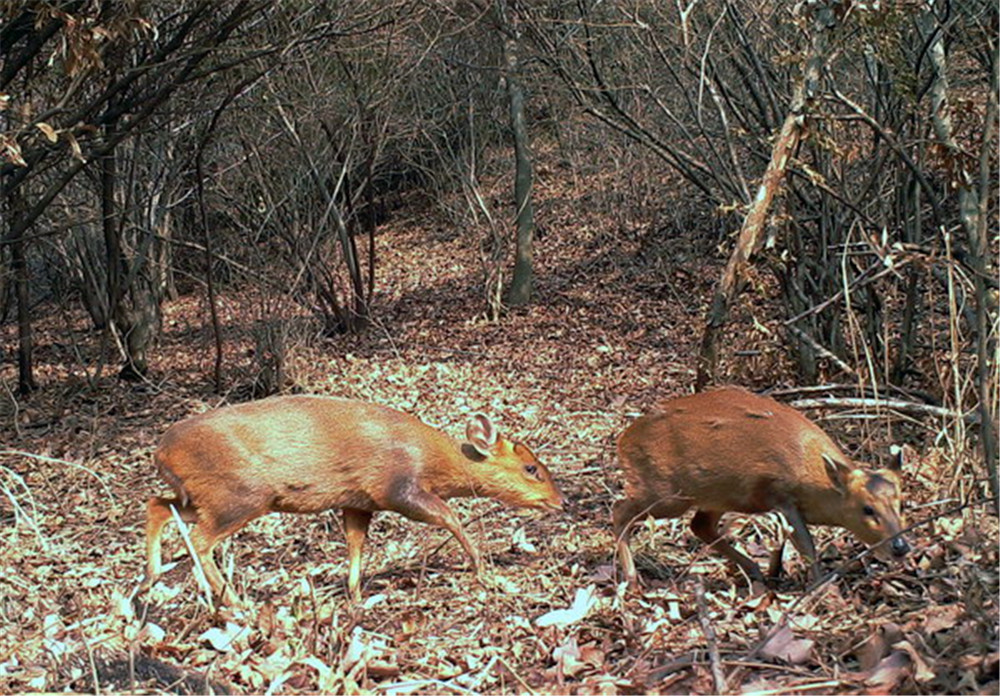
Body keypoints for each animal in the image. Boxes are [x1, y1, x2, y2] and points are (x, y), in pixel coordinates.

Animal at [143, 394, 564, 608]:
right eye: (531, 468)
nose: (560, 502)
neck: (433, 459)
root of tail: (161, 452)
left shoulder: (357, 501)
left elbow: (356, 544)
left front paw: (356, 594)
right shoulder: (396, 487)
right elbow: (450, 517)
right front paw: (483, 569)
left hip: (204, 496)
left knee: (157, 504)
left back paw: (152, 575)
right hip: (241, 494)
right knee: (198, 540)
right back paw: (233, 601)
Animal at [612, 388, 912, 584]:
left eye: (901, 504)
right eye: (867, 509)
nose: (900, 546)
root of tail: (624, 440)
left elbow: (783, 540)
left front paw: (776, 573)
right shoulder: (781, 494)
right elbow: (807, 545)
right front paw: (818, 587)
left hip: (718, 495)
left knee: (699, 526)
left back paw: (754, 571)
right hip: (667, 493)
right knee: (620, 510)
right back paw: (631, 577)